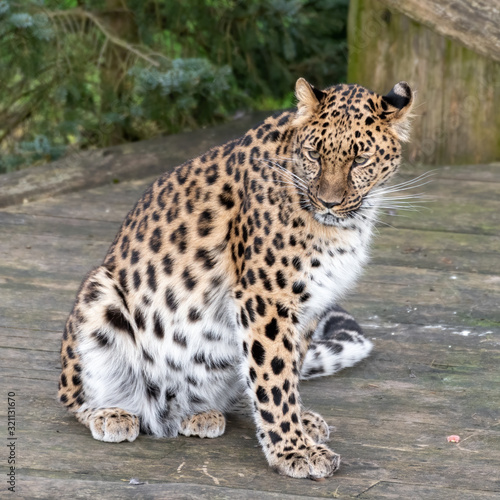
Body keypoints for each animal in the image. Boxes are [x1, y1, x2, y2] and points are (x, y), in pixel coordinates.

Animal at [57, 79, 414, 480]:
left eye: (360, 160)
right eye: (314, 154)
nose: (328, 203)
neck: (346, 225)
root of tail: (163, 411)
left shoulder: (310, 303)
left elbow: (287, 367)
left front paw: (298, 428)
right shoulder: (266, 296)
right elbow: (273, 377)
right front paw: (294, 450)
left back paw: (204, 414)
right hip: (99, 293)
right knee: (71, 397)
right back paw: (111, 413)